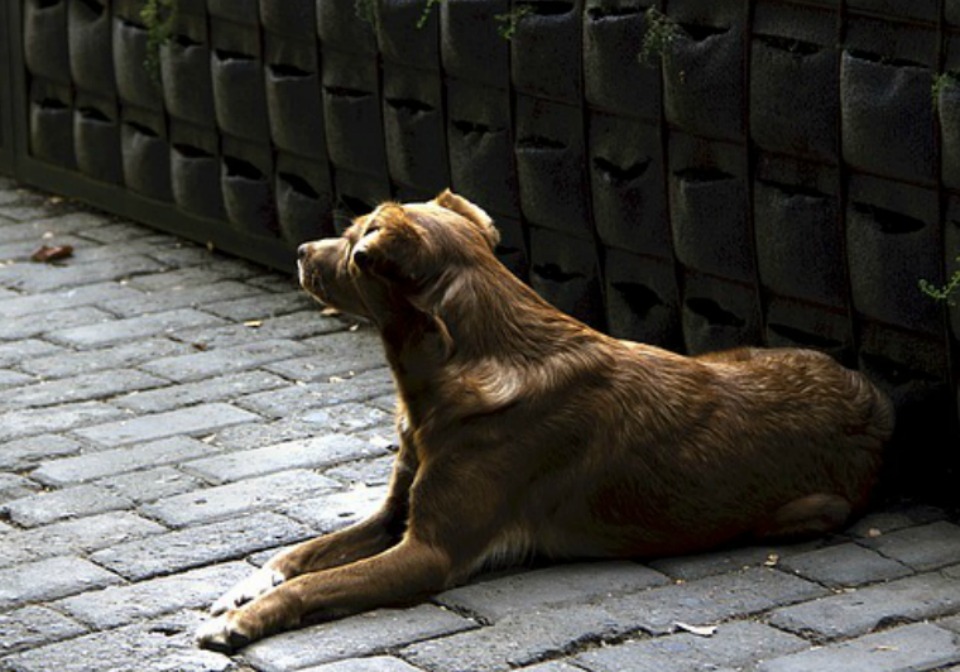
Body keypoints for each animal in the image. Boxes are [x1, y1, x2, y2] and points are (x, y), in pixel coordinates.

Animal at [193, 189, 892, 652]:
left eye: (355, 243)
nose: (300, 249)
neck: (448, 374)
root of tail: (874, 400)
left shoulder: (429, 551)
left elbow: (319, 582)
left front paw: (241, 621)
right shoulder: (396, 514)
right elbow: (301, 553)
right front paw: (246, 587)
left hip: (808, 511)